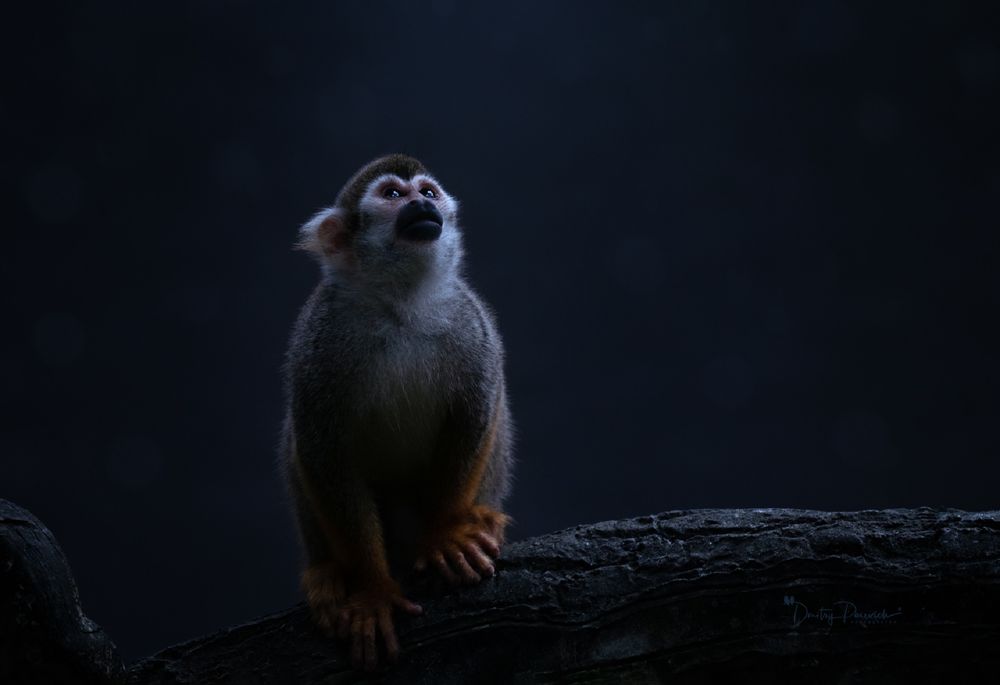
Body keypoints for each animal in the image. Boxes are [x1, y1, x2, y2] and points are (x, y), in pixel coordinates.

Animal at [280, 154, 513, 671]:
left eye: (427, 192)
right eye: (392, 195)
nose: (422, 206)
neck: (400, 304)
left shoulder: (469, 318)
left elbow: (476, 410)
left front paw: (446, 533)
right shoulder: (321, 332)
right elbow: (321, 446)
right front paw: (372, 589)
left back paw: (479, 519)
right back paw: (327, 571)